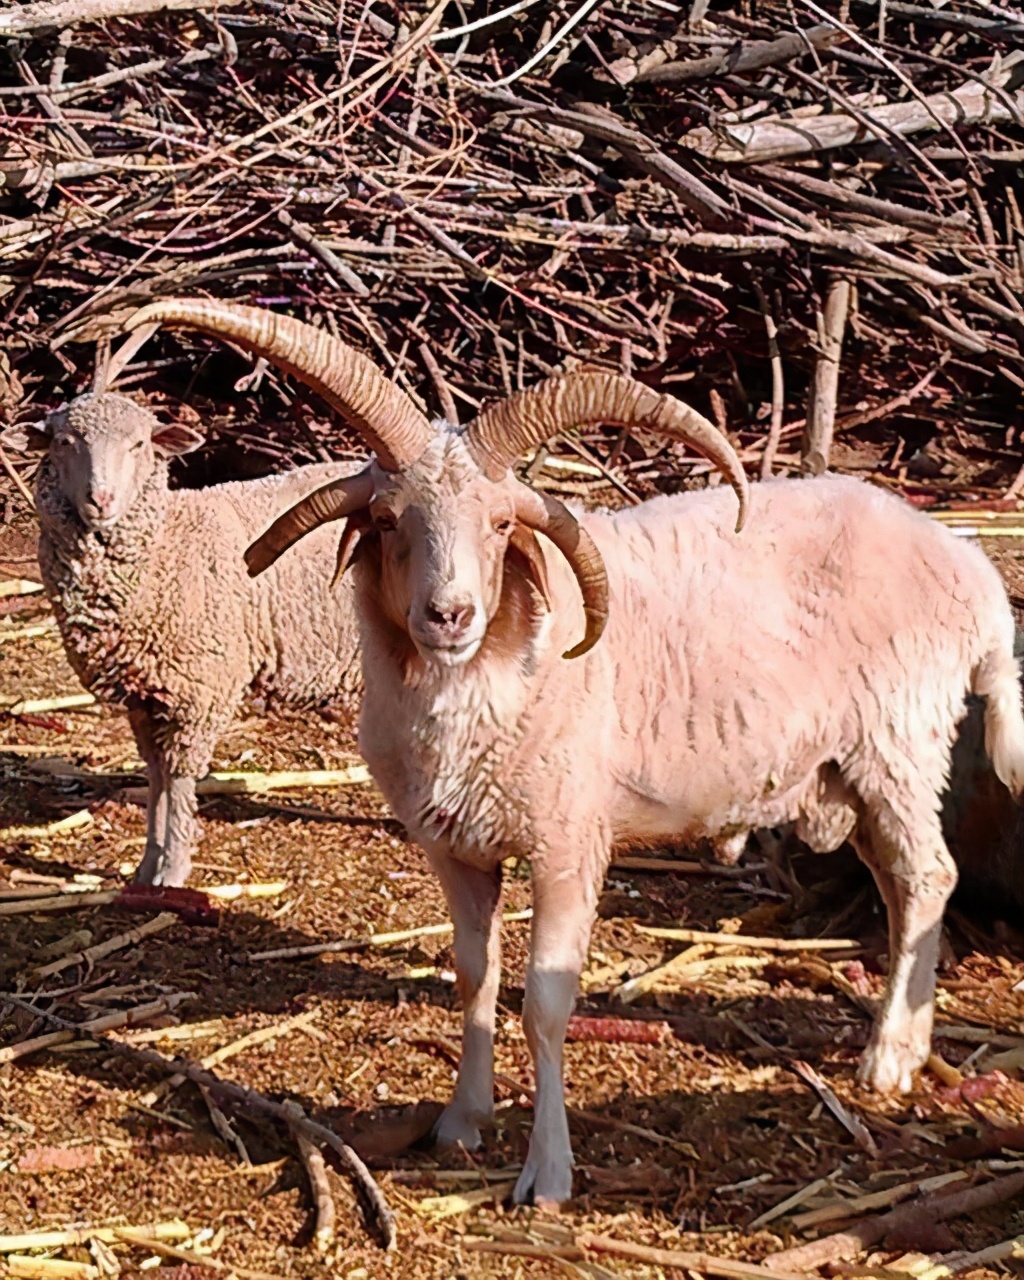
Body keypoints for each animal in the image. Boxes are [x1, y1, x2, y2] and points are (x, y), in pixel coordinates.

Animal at [8, 394, 363, 885]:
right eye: (63, 442)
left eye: (139, 444)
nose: (101, 499)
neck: (166, 547)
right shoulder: (146, 694)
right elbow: (155, 775)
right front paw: (147, 867)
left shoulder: (199, 692)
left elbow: (177, 780)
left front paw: (173, 870)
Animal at [117, 299, 1013, 1208]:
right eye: (388, 520)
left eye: (501, 525)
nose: (450, 615)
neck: (491, 676)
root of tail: (968, 563)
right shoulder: (457, 849)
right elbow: (474, 976)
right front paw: (462, 1120)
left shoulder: (567, 843)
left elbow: (546, 1005)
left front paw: (547, 1171)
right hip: (851, 771)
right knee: (905, 885)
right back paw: (907, 1041)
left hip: (900, 741)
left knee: (929, 875)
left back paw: (888, 1059)